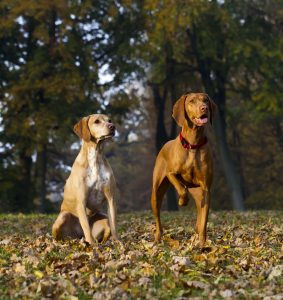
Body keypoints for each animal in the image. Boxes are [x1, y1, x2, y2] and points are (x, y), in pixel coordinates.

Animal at [52, 113, 118, 243]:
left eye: (109, 120)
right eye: (97, 121)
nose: (112, 126)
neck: (95, 158)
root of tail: (79, 236)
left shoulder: (111, 198)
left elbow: (114, 226)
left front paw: (119, 244)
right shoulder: (81, 201)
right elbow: (87, 228)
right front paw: (93, 246)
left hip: (104, 218)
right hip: (62, 217)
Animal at [152, 92, 216, 247]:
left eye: (205, 100)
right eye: (191, 101)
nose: (204, 108)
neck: (193, 144)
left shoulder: (206, 190)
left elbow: (204, 221)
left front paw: (203, 244)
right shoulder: (171, 174)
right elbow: (181, 189)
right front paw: (182, 201)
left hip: (199, 194)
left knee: (199, 215)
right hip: (156, 193)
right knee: (158, 219)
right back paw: (157, 239)